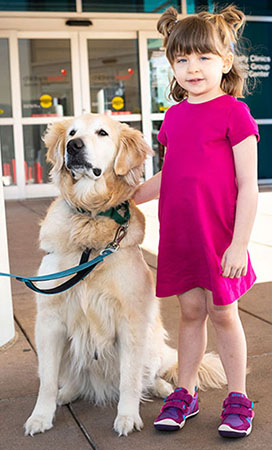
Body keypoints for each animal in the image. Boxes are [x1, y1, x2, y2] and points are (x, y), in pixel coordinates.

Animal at [25, 112, 225, 436]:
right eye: (72, 133)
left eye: (102, 133)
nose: (73, 146)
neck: (91, 219)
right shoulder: (49, 321)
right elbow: (47, 379)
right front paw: (41, 417)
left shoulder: (131, 319)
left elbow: (130, 378)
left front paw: (128, 417)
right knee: (69, 379)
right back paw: (67, 392)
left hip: (152, 340)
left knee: (147, 375)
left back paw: (163, 389)